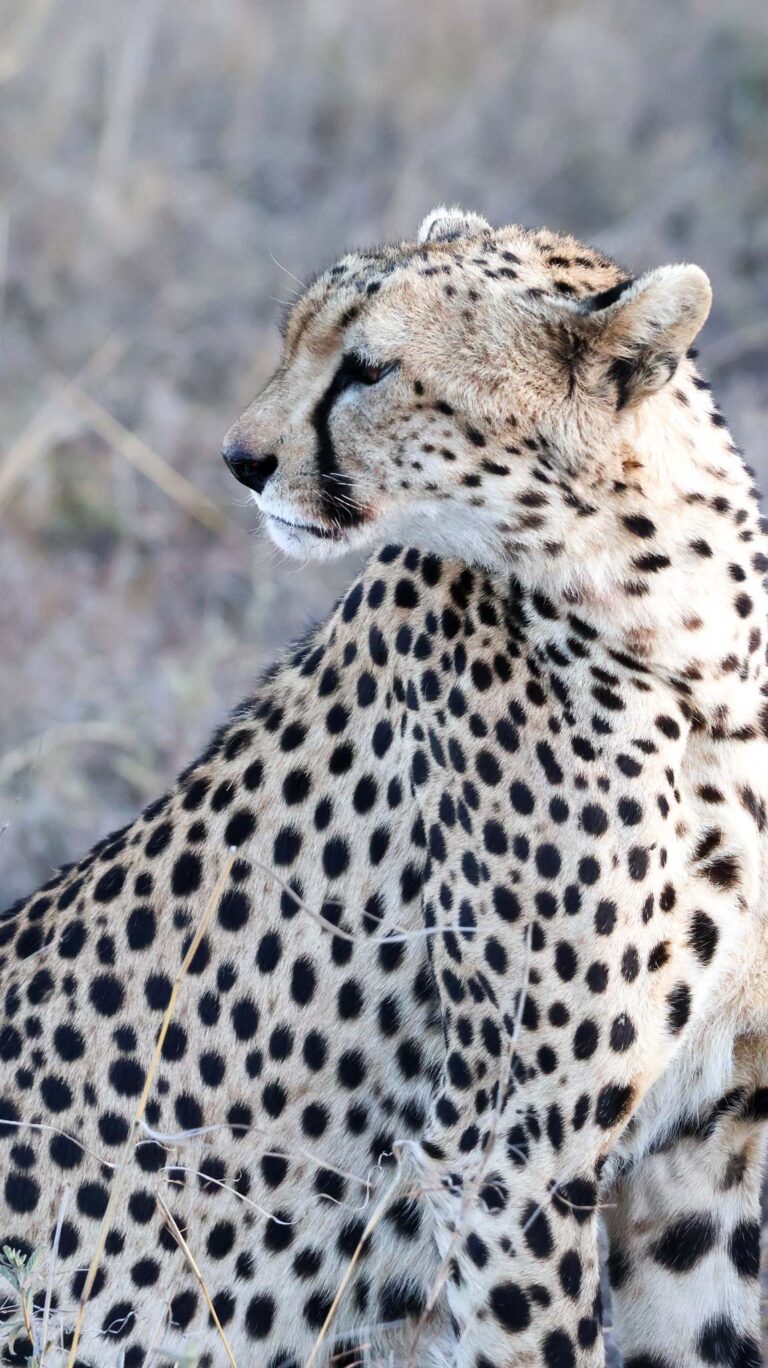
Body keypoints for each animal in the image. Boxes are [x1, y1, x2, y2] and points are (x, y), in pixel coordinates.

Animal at [2, 203, 768, 1368]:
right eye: (294, 339)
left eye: (367, 369)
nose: (238, 460)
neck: (677, 622)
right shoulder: (506, 1153)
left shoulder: (705, 1137)